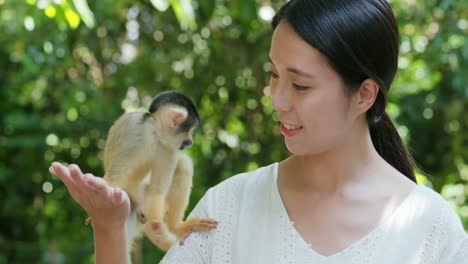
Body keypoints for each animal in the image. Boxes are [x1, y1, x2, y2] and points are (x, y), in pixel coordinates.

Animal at [101, 91, 217, 252]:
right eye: (190, 131)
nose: (190, 142)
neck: (155, 129)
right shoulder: (141, 136)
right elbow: (115, 176)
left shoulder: (167, 147)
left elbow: (157, 190)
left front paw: (163, 226)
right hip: (134, 203)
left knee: (183, 164)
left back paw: (175, 226)